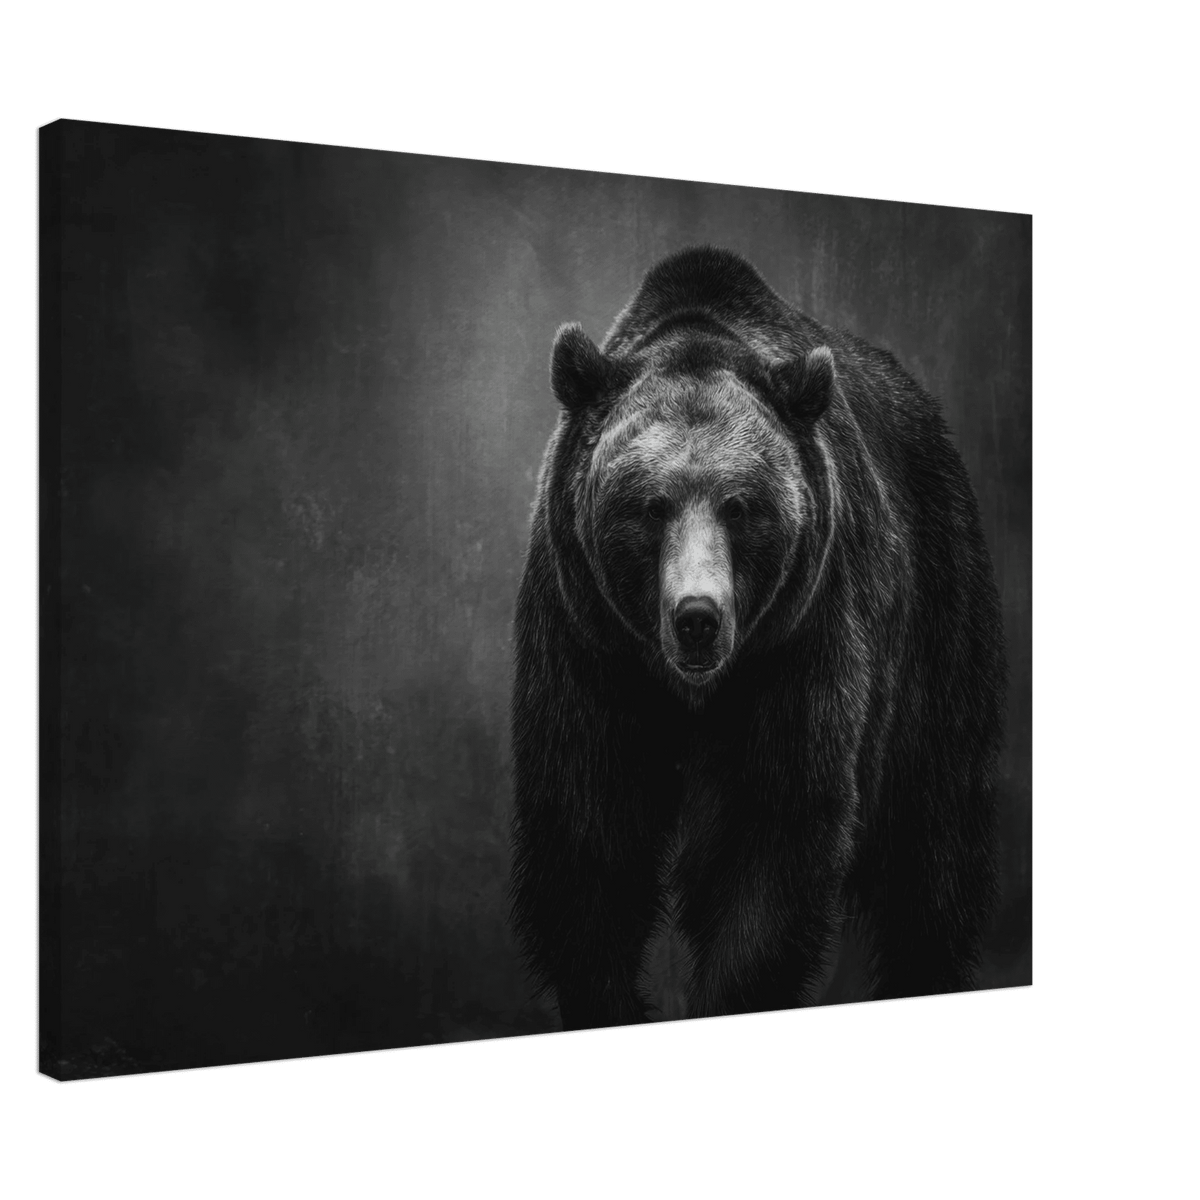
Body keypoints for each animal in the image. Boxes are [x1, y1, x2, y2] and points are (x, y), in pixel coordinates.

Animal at [509, 246, 1005, 1031]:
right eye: (650, 505)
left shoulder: (801, 639)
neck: (691, 689)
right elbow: (588, 829)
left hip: (940, 614)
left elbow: (774, 834)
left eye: (740, 506)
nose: (697, 616)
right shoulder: (586, 639)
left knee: (935, 843)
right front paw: (608, 997)